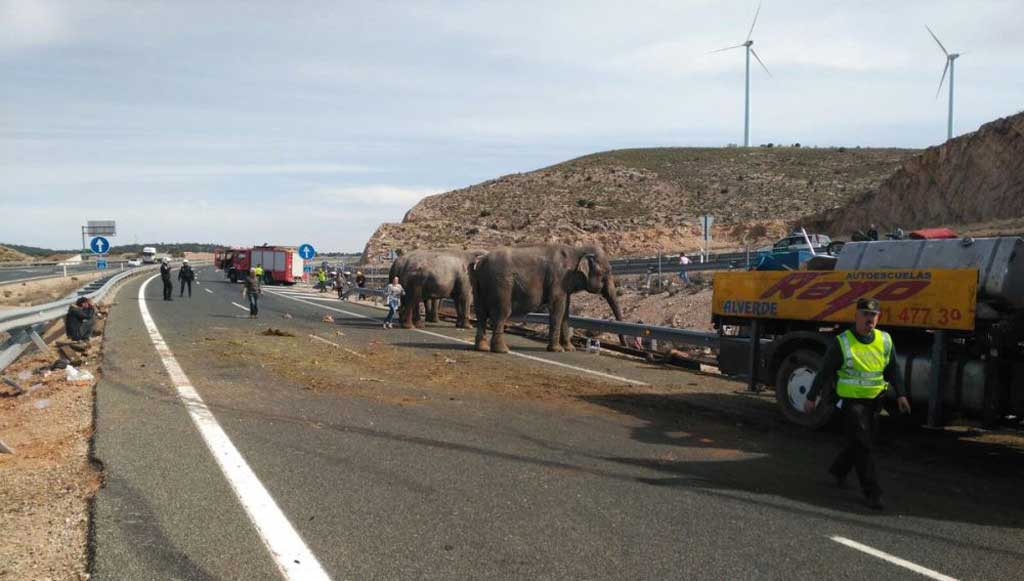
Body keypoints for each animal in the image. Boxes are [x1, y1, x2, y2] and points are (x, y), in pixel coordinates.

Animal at [471, 241, 622, 352]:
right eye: (606, 272)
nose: (625, 345)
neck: (578, 250)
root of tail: (481, 263)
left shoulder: (565, 282)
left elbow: (565, 311)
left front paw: (569, 349)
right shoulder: (559, 278)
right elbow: (558, 308)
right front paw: (557, 350)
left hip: (479, 285)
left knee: (481, 314)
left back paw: (482, 348)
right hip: (502, 284)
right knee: (501, 313)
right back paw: (502, 350)